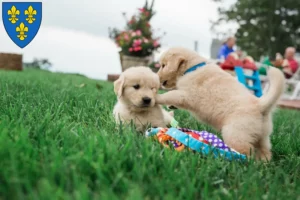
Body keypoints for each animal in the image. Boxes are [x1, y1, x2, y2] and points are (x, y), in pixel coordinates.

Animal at [156, 47, 284, 161]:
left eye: (163, 65)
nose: (156, 77)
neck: (191, 69)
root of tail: (260, 105)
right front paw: (170, 105)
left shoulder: (185, 95)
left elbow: (170, 94)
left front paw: (156, 98)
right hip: (263, 137)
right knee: (265, 151)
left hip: (234, 133)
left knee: (245, 153)